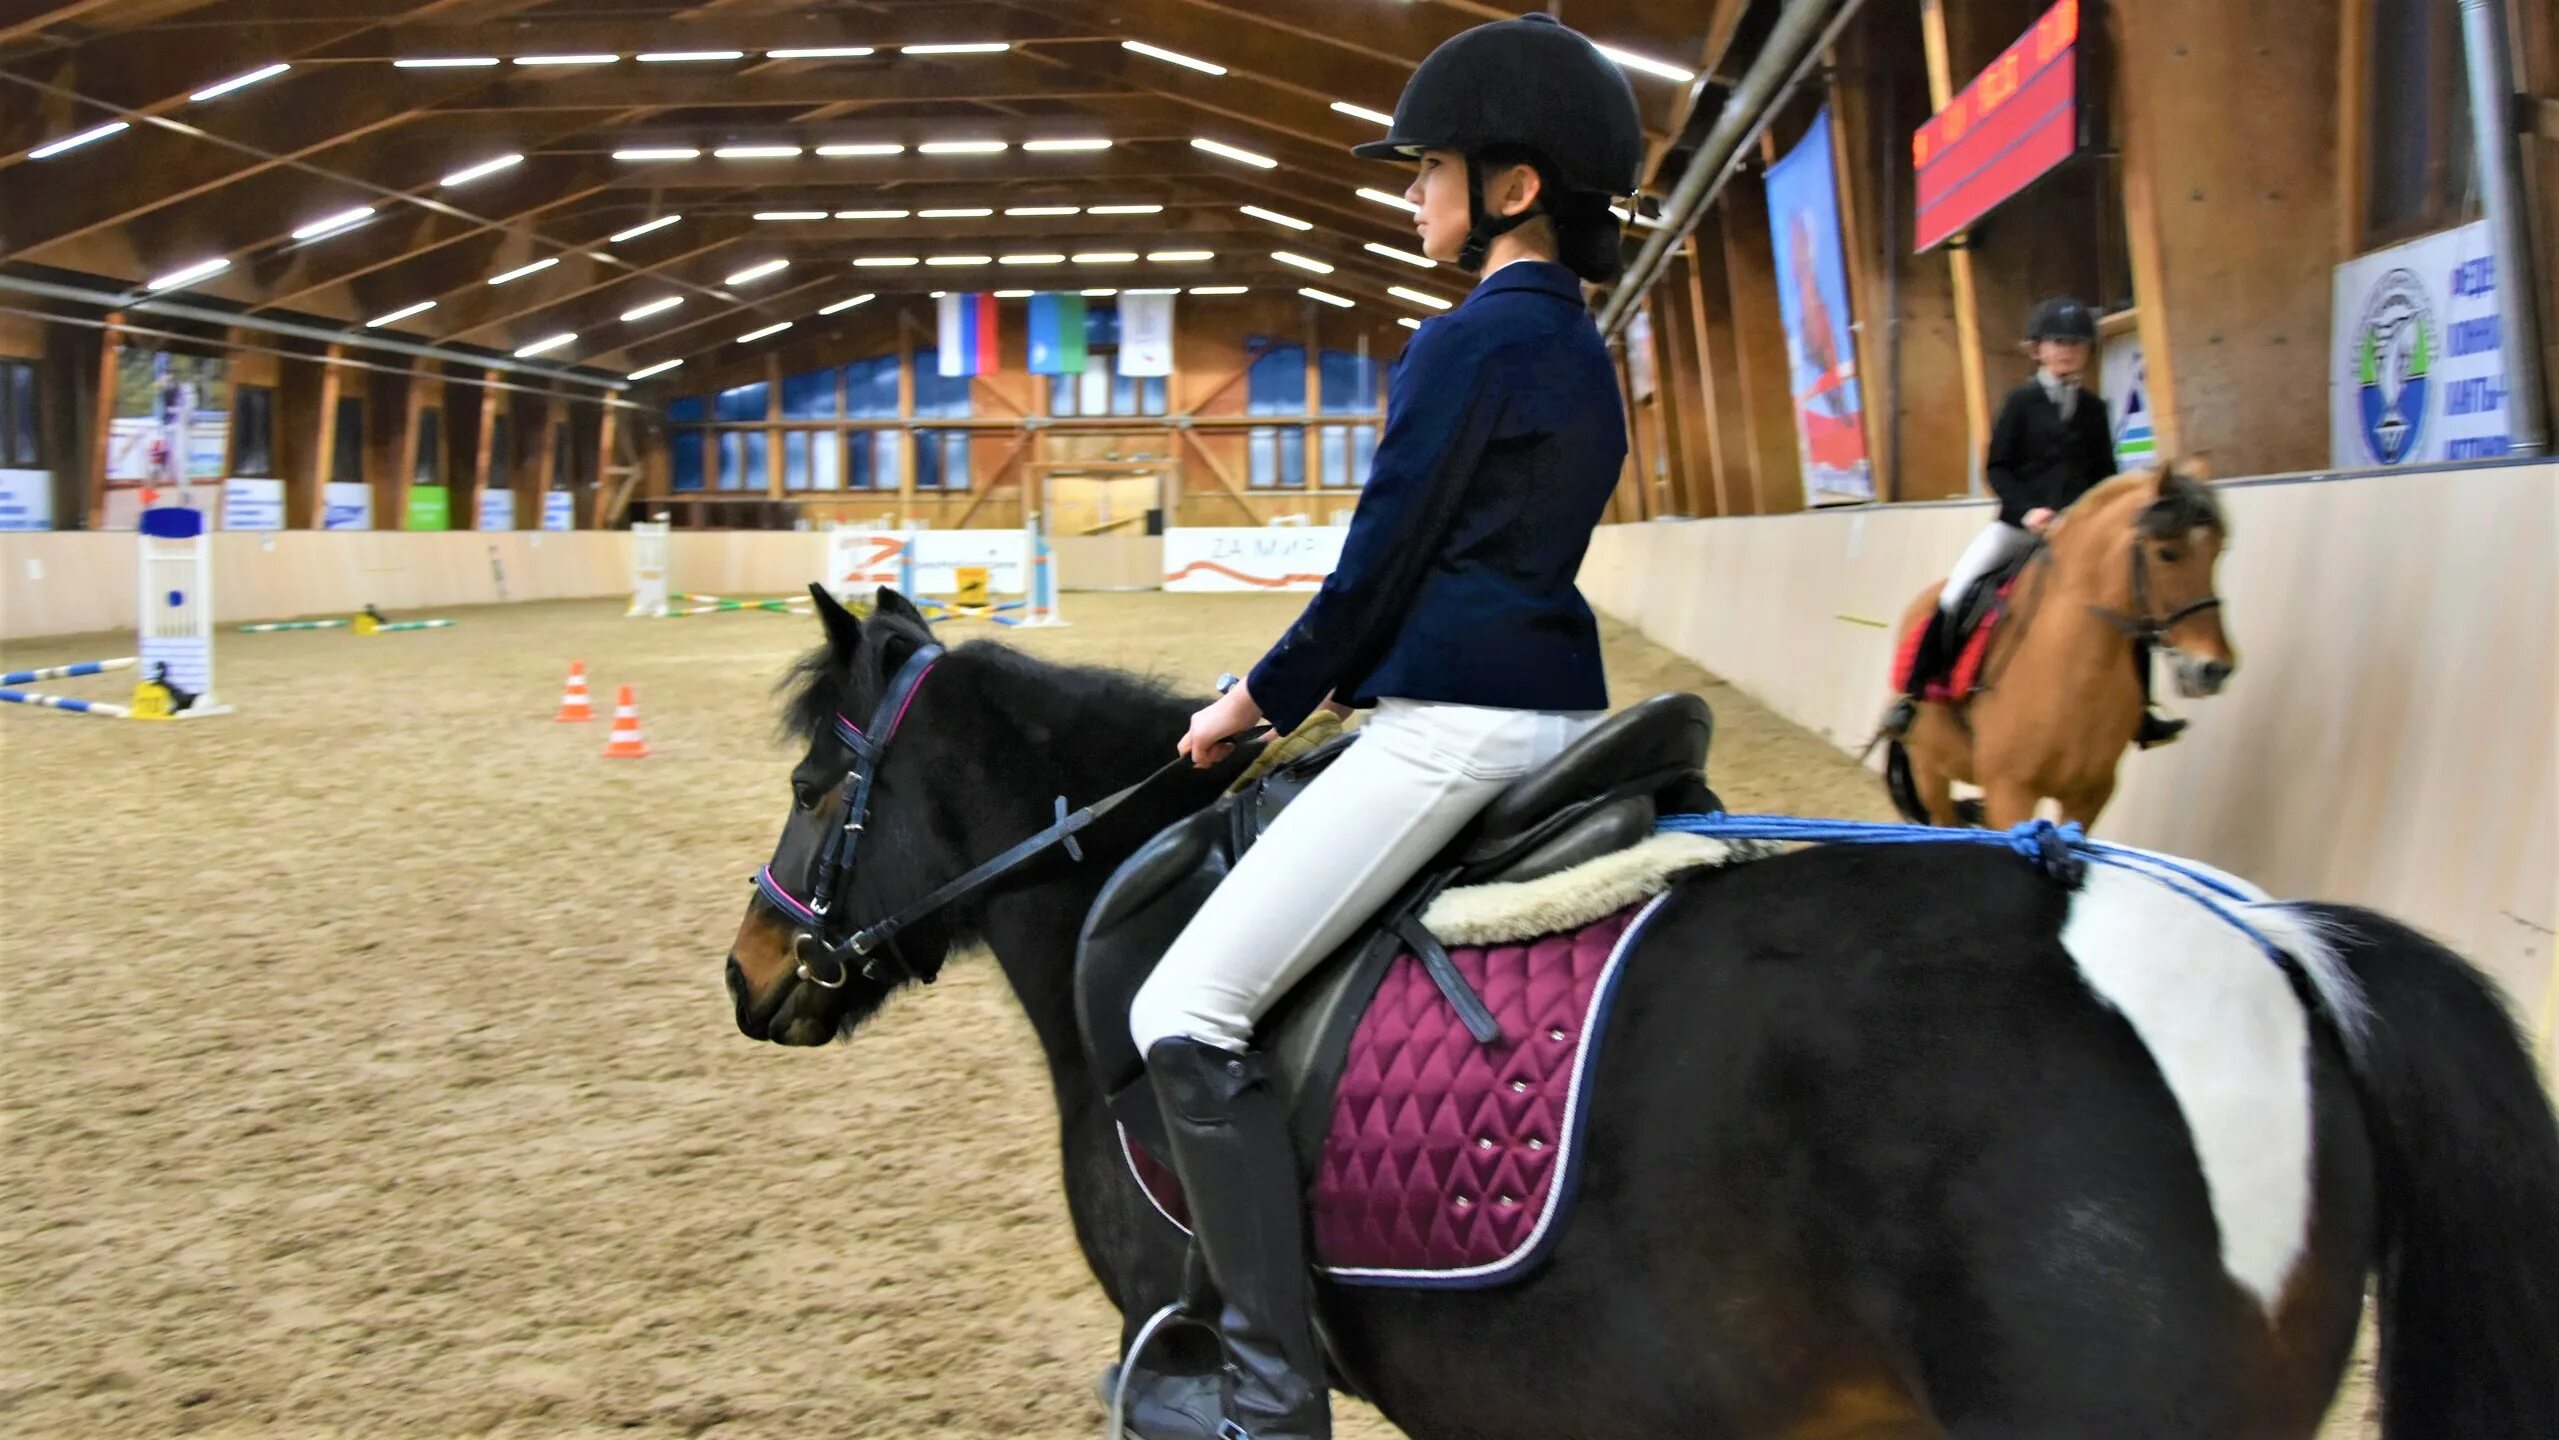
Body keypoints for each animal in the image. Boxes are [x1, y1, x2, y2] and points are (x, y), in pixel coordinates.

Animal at [1883, 470, 2241, 833]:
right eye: (2167, 553)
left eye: (2217, 552)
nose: (2214, 669)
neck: (2077, 677)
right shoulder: (2009, 791)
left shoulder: (2090, 796)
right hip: (1928, 769)